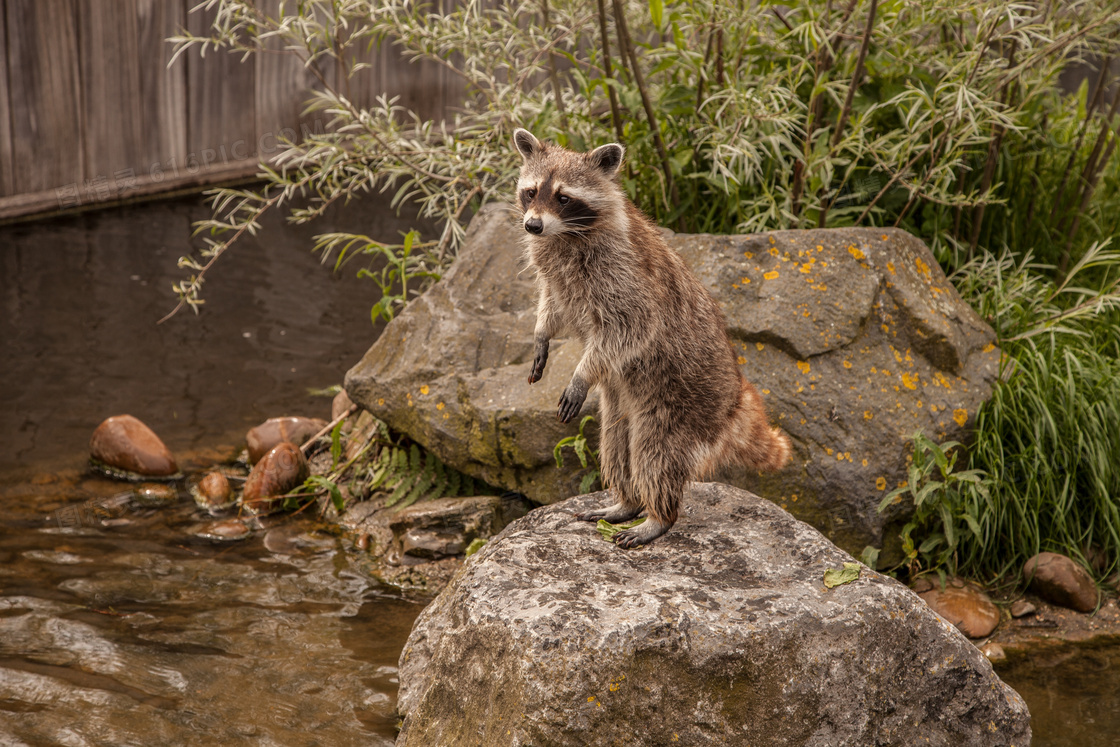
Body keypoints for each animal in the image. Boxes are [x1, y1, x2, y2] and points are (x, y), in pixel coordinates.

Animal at [512, 129, 788, 548]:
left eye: (563, 197)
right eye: (531, 192)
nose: (532, 226)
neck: (565, 235)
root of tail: (735, 402)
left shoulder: (623, 275)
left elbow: (631, 327)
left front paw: (582, 373)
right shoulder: (556, 274)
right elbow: (552, 303)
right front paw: (541, 332)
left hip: (679, 404)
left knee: (654, 453)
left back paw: (658, 515)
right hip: (622, 402)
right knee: (615, 442)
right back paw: (626, 501)